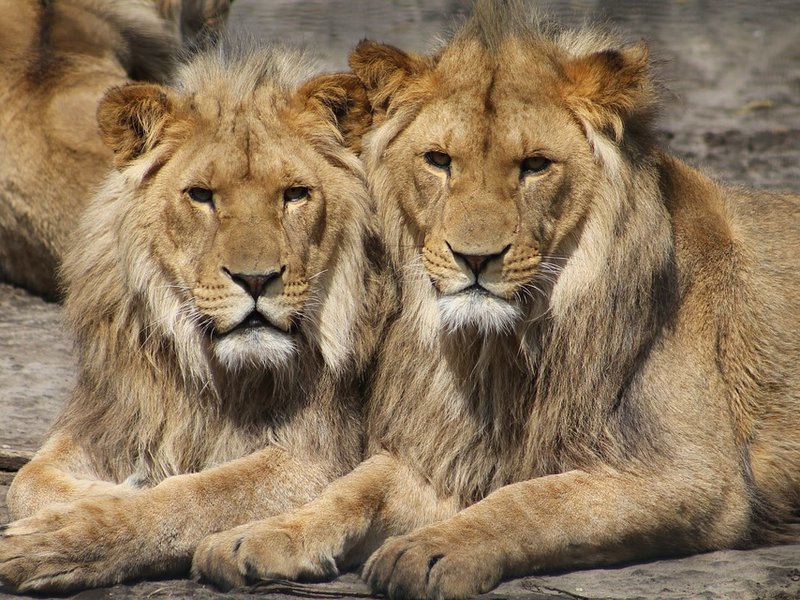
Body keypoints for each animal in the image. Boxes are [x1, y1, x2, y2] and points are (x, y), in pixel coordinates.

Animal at [0, 40, 386, 592]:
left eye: (295, 194)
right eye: (201, 195)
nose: (256, 280)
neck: (212, 371)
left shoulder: (319, 456)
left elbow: (197, 495)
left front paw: (63, 535)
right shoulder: (120, 413)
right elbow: (27, 482)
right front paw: (106, 491)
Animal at [191, 2, 800, 598]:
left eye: (535, 165)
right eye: (438, 161)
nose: (475, 259)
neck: (500, 351)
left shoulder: (697, 476)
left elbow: (535, 498)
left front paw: (432, 550)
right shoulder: (454, 454)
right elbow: (359, 484)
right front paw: (259, 535)